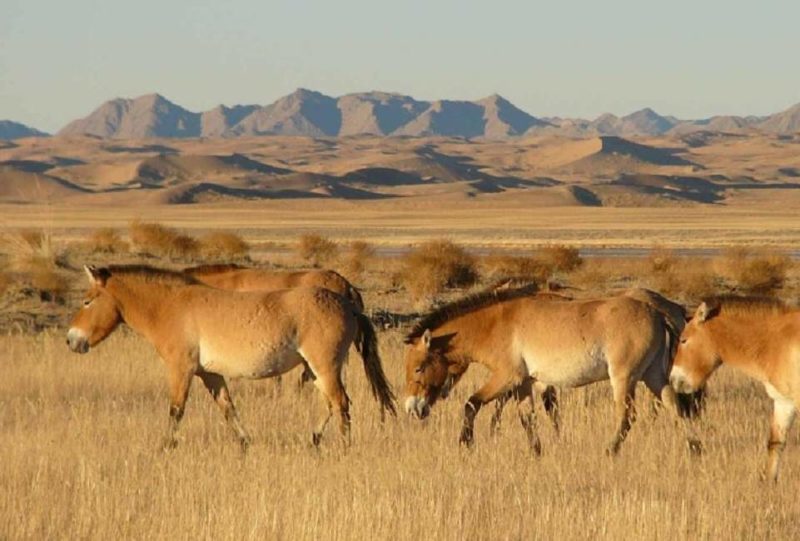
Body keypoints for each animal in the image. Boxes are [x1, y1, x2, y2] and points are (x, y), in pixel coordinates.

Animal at [66, 264, 396, 448]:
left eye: (87, 301)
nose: (71, 339)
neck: (170, 306)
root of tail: (347, 303)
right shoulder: (210, 374)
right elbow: (228, 408)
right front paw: (244, 443)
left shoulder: (181, 369)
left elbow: (176, 410)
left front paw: (165, 447)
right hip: (316, 370)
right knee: (330, 404)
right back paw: (313, 440)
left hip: (325, 367)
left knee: (341, 403)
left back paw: (344, 447)